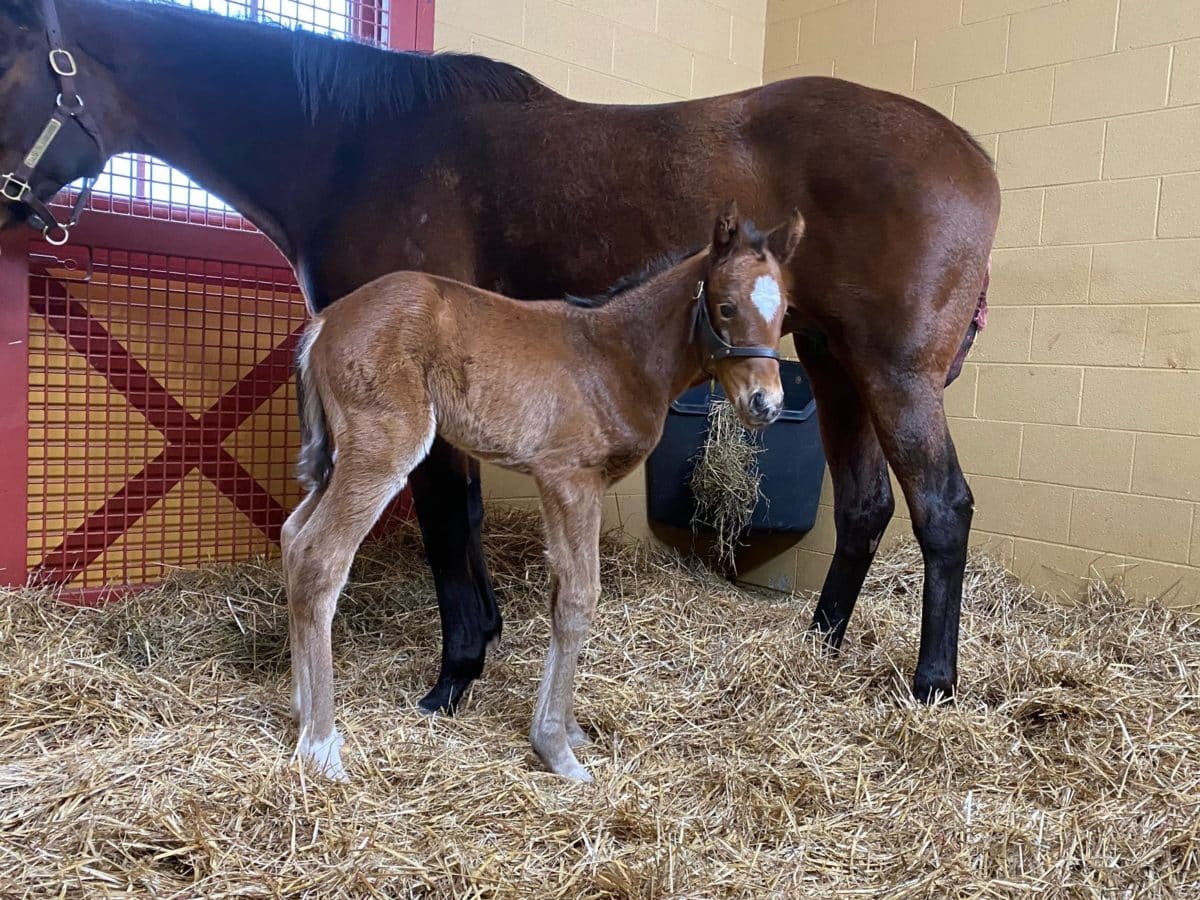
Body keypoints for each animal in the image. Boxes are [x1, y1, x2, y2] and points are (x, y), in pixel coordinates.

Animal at [283, 206, 806, 782]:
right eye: (726, 306)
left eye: (784, 310)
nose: (766, 403)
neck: (616, 356)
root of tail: (324, 324)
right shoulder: (569, 478)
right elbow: (579, 598)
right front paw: (557, 750)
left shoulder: (572, 485)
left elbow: (560, 595)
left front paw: (569, 731)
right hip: (382, 449)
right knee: (320, 556)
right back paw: (322, 746)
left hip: (338, 457)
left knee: (292, 536)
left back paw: (301, 710)